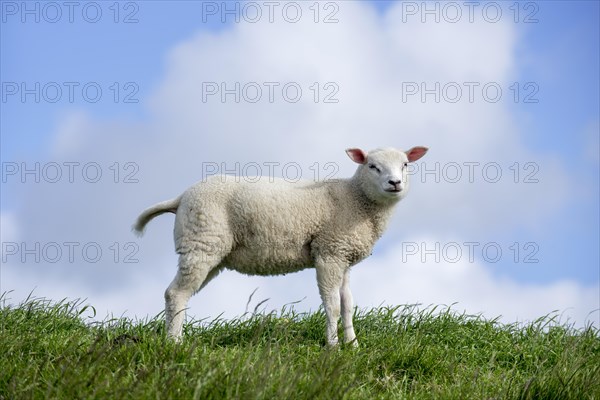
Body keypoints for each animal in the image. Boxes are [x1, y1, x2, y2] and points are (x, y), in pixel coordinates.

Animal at [134, 145, 428, 346]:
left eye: (405, 164)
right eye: (372, 166)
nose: (395, 183)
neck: (356, 198)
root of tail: (181, 197)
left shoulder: (344, 256)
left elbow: (347, 303)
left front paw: (353, 346)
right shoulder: (329, 252)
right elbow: (332, 304)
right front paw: (333, 346)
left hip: (209, 250)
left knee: (181, 293)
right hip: (201, 242)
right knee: (175, 293)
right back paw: (174, 343)